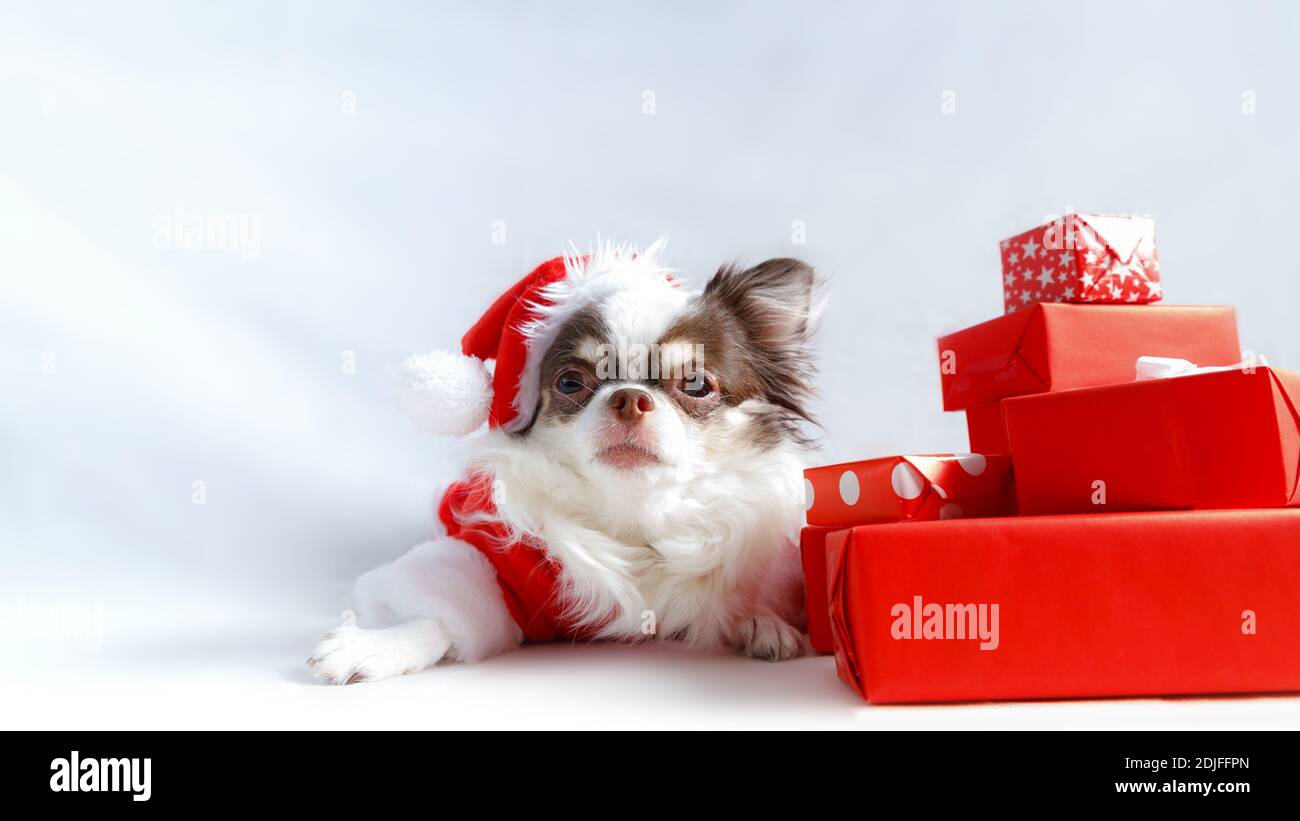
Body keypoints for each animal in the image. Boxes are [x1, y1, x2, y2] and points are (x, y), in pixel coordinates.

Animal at [308, 240, 816, 680]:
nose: (629, 397)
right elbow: (446, 612)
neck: (634, 517)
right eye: (571, 382)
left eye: (695, 384)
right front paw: (381, 644)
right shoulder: (504, 571)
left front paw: (760, 618)